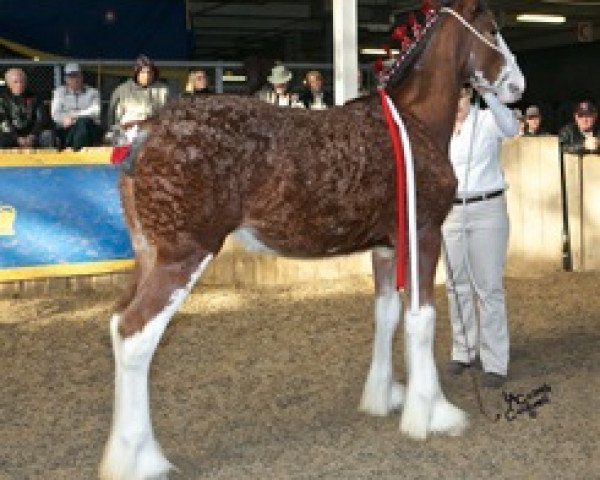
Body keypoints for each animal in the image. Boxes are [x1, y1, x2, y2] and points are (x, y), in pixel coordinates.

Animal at [101, 1, 524, 478]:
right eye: (493, 29)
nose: (517, 86)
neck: (412, 120)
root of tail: (147, 131)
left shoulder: (386, 247)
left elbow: (387, 316)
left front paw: (383, 398)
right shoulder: (424, 235)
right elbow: (422, 319)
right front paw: (432, 414)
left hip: (148, 257)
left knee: (117, 326)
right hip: (183, 257)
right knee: (136, 335)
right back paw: (139, 459)